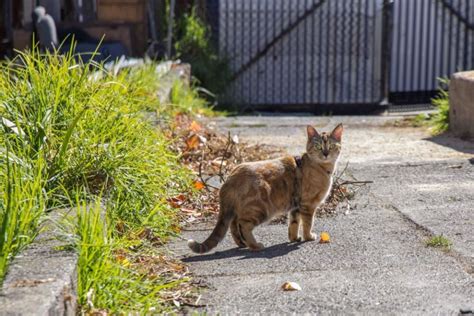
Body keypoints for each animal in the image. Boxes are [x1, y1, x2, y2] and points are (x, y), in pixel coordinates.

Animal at [187, 123, 342, 254]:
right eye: (318, 146)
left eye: (332, 146)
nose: (326, 153)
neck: (321, 168)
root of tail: (231, 176)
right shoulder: (308, 205)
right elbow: (308, 223)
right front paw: (308, 237)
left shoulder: (296, 206)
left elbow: (293, 223)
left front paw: (294, 238)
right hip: (260, 209)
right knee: (243, 225)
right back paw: (255, 246)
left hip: (238, 209)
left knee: (233, 224)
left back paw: (242, 243)